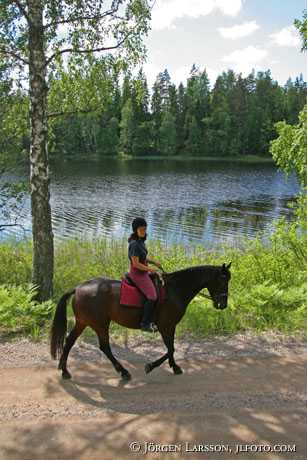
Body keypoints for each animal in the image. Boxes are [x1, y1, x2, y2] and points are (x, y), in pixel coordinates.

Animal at [50, 262, 232, 380]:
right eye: (223, 280)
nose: (223, 304)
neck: (175, 290)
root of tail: (78, 288)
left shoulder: (170, 326)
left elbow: (171, 348)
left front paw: (174, 366)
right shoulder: (166, 326)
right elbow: (171, 348)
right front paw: (151, 366)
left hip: (83, 322)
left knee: (70, 341)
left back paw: (64, 370)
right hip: (100, 324)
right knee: (104, 347)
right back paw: (123, 372)